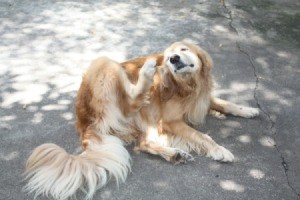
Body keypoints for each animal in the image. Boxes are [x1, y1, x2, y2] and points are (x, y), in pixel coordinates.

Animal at [23, 41, 258, 199]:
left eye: (183, 49)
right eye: (169, 56)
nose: (172, 59)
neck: (187, 86)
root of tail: (83, 120)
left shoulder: (202, 99)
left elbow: (226, 103)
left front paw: (248, 109)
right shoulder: (170, 121)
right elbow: (202, 136)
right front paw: (219, 150)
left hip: (145, 119)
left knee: (144, 143)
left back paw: (175, 154)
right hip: (107, 67)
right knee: (132, 104)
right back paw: (146, 71)